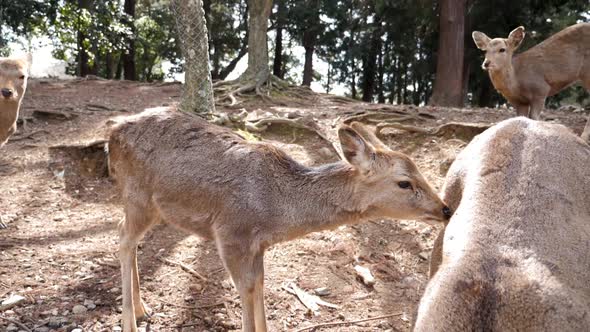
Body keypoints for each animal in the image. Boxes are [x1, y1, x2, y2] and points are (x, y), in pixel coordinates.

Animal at [110, 107, 454, 332]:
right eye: (404, 183)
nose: (445, 209)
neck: (276, 213)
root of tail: (111, 135)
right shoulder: (231, 234)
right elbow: (247, 289)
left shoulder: (258, 246)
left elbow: (260, 285)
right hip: (139, 196)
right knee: (124, 239)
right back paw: (130, 321)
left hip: (152, 206)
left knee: (127, 236)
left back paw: (142, 308)